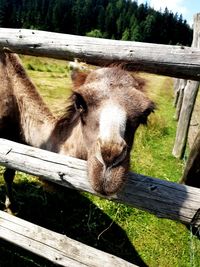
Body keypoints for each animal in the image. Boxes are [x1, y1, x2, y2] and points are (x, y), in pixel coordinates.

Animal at [0, 52, 155, 210]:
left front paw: (11, 205)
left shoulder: (15, 140)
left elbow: (9, 172)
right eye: (79, 102)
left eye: (145, 113)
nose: (110, 156)